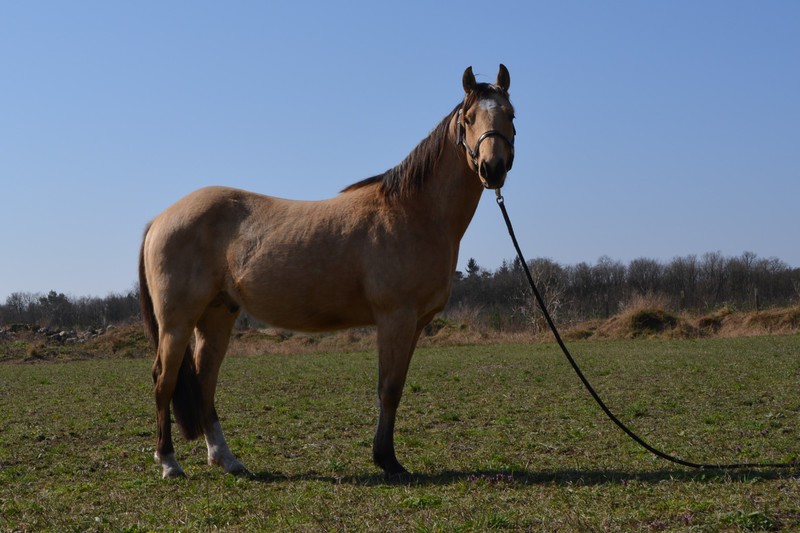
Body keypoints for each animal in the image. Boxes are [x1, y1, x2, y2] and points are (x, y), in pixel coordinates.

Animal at [139, 64, 516, 478]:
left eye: (511, 115)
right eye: (469, 119)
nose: (493, 168)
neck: (413, 211)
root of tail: (160, 219)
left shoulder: (415, 324)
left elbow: (397, 387)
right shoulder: (395, 318)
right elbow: (388, 390)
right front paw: (387, 460)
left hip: (217, 315)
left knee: (205, 381)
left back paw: (227, 459)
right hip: (177, 321)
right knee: (164, 381)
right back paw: (169, 462)